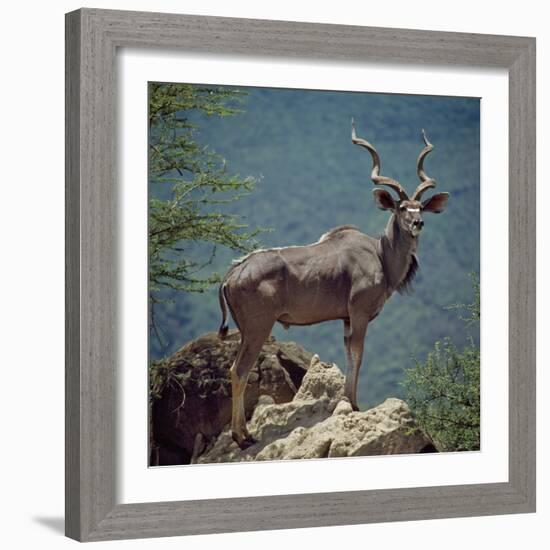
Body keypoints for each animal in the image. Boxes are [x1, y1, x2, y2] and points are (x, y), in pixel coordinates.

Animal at [218, 121, 450, 448]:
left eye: (420, 207)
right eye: (402, 208)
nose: (418, 224)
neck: (380, 253)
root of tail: (232, 274)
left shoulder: (346, 319)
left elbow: (349, 355)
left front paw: (348, 401)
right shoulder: (360, 314)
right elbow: (359, 355)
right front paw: (353, 404)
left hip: (246, 331)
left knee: (234, 369)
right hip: (258, 328)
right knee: (239, 371)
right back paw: (243, 436)